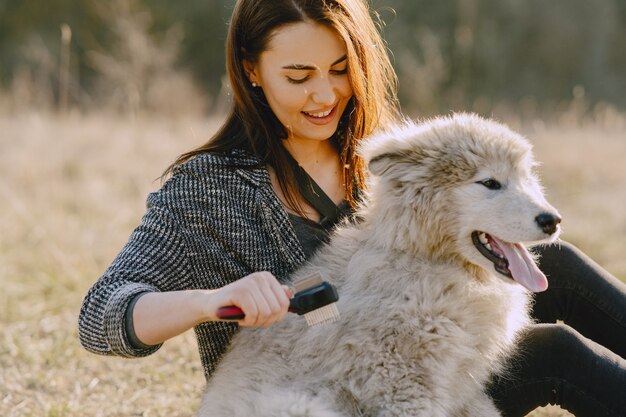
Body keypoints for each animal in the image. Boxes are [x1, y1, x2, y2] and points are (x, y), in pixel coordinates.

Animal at [197, 114, 560, 416]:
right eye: (489, 183)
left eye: (527, 179)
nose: (552, 221)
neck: (422, 260)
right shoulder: (402, 386)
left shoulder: (461, 391)